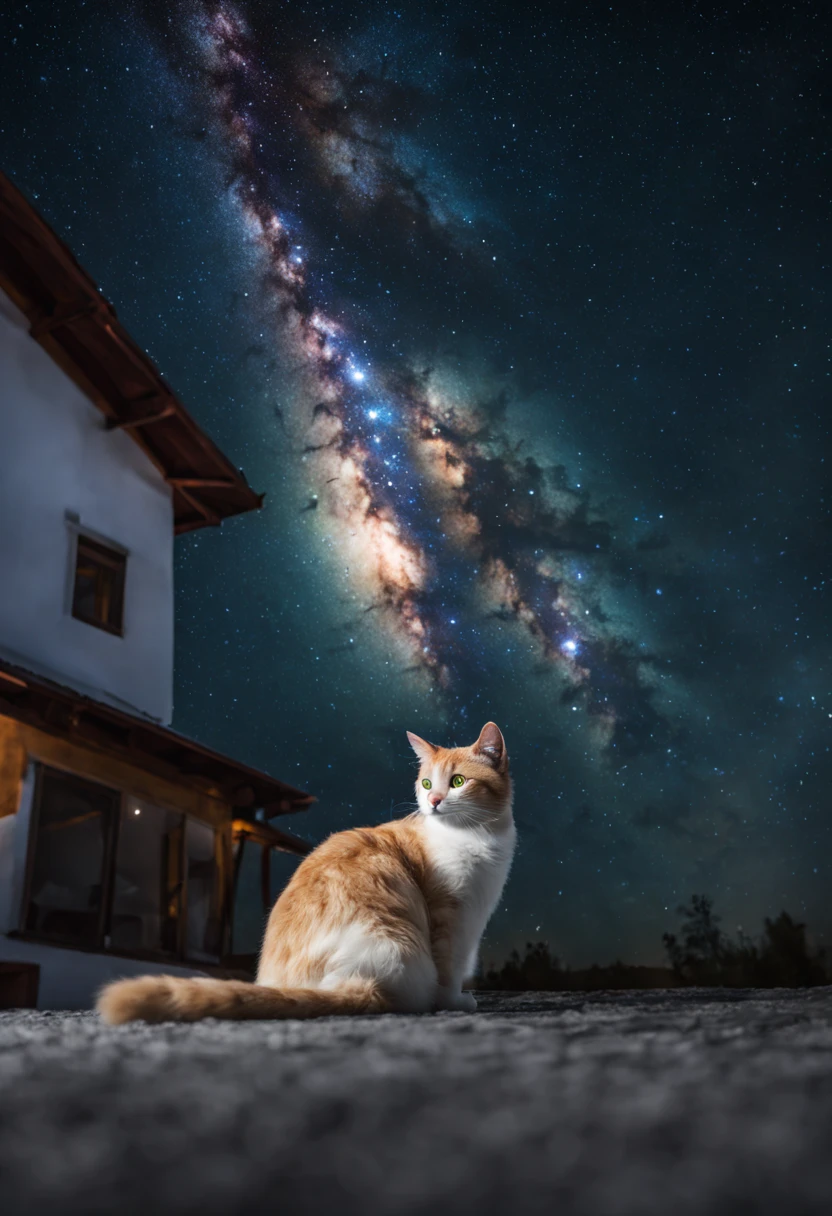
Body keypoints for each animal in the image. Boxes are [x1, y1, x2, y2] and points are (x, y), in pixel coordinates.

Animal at [97, 719, 513, 1026]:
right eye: (427, 783)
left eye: (457, 782)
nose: (434, 801)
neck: (478, 836)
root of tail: (359, 980)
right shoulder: (451, 920)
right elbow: (450, 971)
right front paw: (456, 1002)